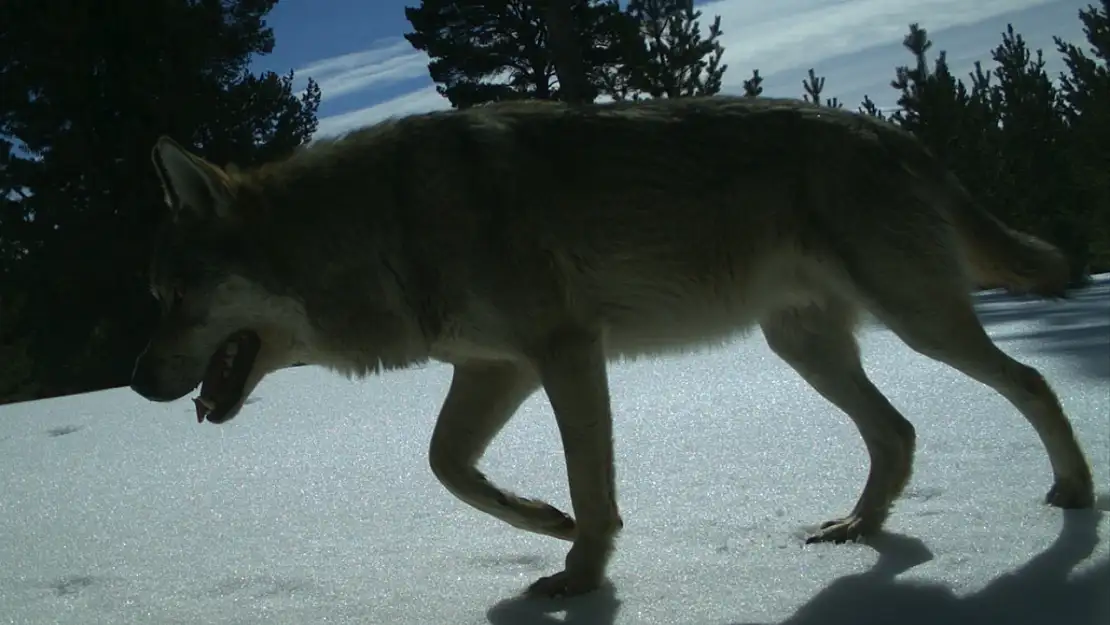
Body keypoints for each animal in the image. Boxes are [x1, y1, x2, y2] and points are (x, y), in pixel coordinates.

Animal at [127, 95, 1092, 599]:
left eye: (170, 298)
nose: (134, 383)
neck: (378, 228)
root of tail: (892, 129)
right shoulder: (495, 366)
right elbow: (447, 466)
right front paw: (543, 520)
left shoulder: (563, 351)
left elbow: (590, 484)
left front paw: (582, 572)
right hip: (804, 346)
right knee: (898, 430)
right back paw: (860, 526)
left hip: (918, 320)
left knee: (1033, 380)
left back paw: (1074, 497)